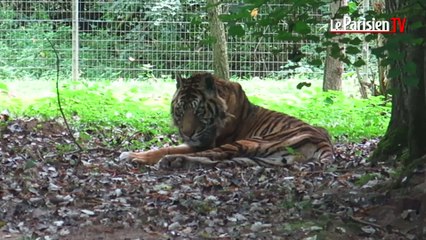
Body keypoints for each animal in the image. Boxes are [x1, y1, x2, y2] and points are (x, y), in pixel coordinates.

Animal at [119, 72, 332, 169]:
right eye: (181, 109)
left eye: (198, 110)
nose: (187, 133)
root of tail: (325, 142)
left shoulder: (204, 142)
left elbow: (165, 148)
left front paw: (133, 155)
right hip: (266, 158)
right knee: (217, 160)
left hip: (252, 142)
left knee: (211, 155)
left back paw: (172, 161)